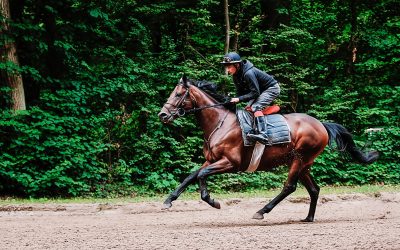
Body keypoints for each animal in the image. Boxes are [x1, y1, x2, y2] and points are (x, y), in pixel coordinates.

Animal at [157, 75, 378, 222]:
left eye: (178, 94)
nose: (163, 115)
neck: (220, 123)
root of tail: (321, 125)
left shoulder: (231, 163)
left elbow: (201, 176)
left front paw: (212, 200)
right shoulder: (211, 160)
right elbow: (191, 176)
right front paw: (168, 201)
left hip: (299, 159)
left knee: (289, 186)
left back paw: (262, 211)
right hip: (304, 163)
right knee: (314, 189)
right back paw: (308, 218)